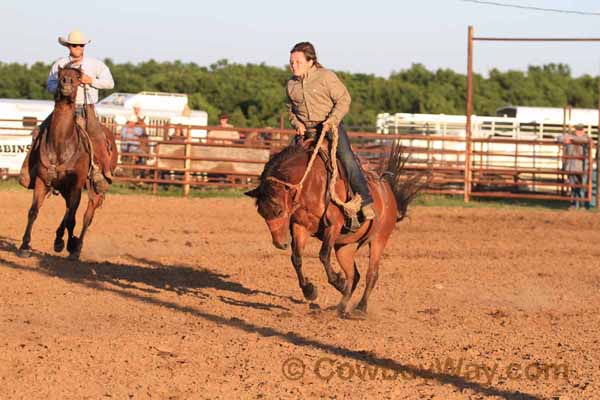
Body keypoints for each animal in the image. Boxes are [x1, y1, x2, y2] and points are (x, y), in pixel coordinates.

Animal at [18, 65, 115, 260]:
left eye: (78, 78)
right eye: (60, 74)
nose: (66, 82)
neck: (61, 144)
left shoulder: (76, 185)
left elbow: (72, 218)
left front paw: (69, 244)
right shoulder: (42, 181)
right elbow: (33, 211)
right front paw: (25, 245)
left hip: (94, 191)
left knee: (86, 216)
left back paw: (76, 247)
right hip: (63, 188)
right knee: (69, 210)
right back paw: (61, 240)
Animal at [246, 139, 424, 318]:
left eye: (279, 210)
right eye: (261, 213)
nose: (280, 243)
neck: (311, 183)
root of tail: (388, 193)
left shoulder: (333, 226)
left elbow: (323, 255)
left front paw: (338, 282)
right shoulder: (300, 226)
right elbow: (296, 258)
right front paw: (310, 291)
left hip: (379, 239)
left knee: (371, 274)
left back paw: (360, 308)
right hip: (344, 247)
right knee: (354, 275)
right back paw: (340, 307)